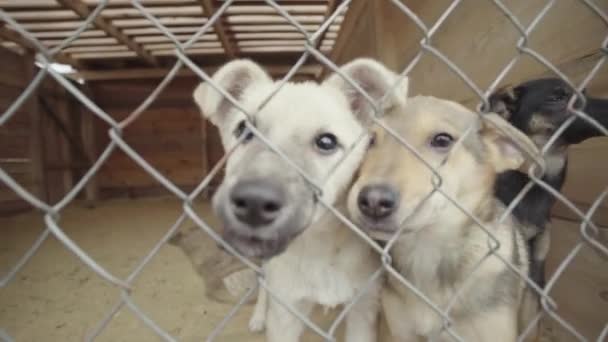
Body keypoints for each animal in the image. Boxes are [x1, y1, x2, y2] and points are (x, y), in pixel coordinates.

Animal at [192, 57, 406, 340]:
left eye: (327, 141)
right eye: (243, 130)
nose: (253, 202)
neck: (318, 246)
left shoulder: (364, 308)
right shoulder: (286, 313)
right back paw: (258, 316)